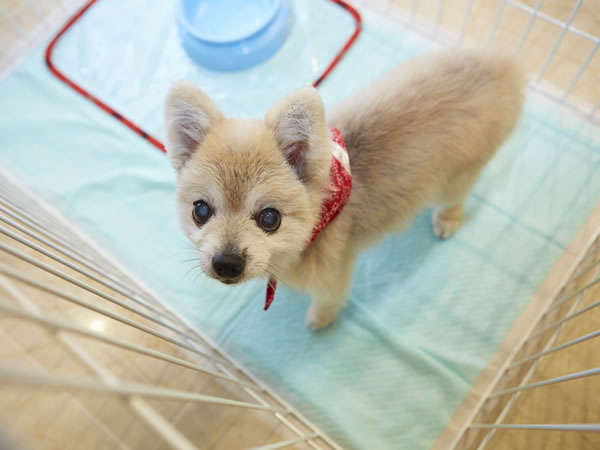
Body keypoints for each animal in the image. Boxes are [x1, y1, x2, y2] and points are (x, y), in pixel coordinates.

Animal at [165, 50, 524, 330]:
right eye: (201, 211)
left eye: (270, 218)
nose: (226, 263)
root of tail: (505, 67)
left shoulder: (332, 277)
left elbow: (328, 301)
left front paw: (319, 320)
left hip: (455, 178)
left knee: (454, 200)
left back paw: (446, 221)